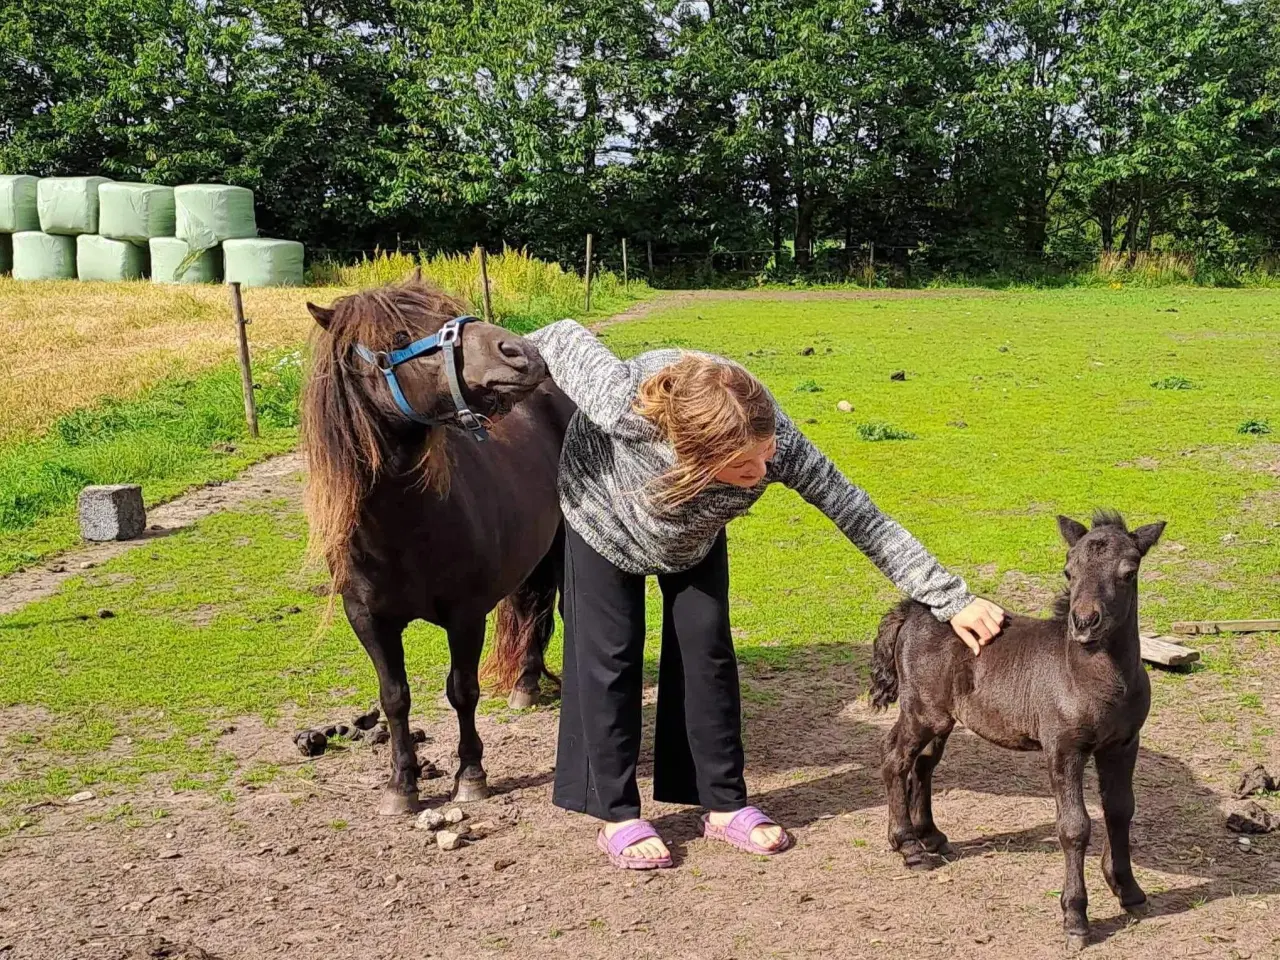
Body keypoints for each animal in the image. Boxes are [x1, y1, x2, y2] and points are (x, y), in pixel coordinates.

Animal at [302, 281, 573, 814]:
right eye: (399, 336)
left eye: (447, 312)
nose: (523, 354)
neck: (403, 526)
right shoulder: (367, 619)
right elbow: (394, 697)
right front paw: (401, 785)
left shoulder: (465, 615)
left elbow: (462, 691)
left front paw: (471, 775)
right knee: (533, 609)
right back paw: (526, 684)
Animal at [875, 514, 1167, 952]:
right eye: (1068, 571)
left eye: (1128, 572)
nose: (1084, 623)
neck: (1096, 679)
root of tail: (913, 611)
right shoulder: (1063, 749)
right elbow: (1075, 827)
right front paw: (1075, 918)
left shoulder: (1123, 744)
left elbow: (1120, 810)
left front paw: (1128, 889)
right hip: (921, 711)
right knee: (895, 758)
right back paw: (908, 845)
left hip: (943, 719)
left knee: (922, 764)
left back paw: (931, 836)